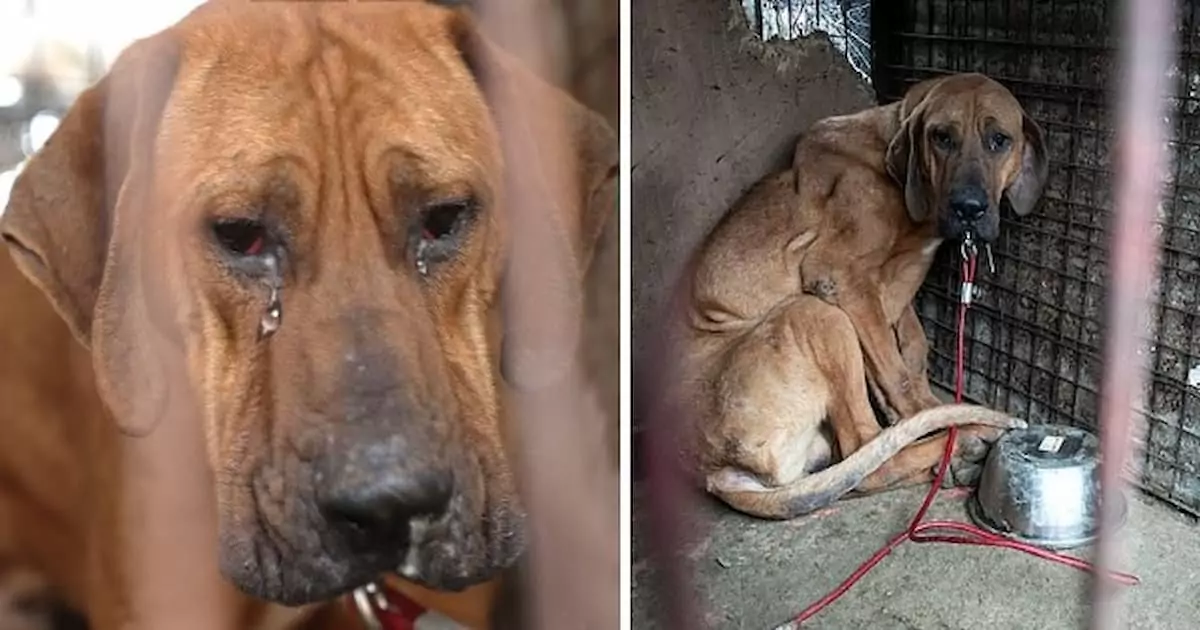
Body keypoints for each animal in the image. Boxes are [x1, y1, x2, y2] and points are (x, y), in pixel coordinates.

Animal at [676, 73, 1051, 518]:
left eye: (1000, 140)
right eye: (942, 137)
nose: (969, 208)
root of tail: (711, 471)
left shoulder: (890, 288)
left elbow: (912, 347)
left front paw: (923, 403)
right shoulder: (840, 277)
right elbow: (897, 374)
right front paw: (931, 414)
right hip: (814, 314)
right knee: (864, 450)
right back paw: (964, 436)